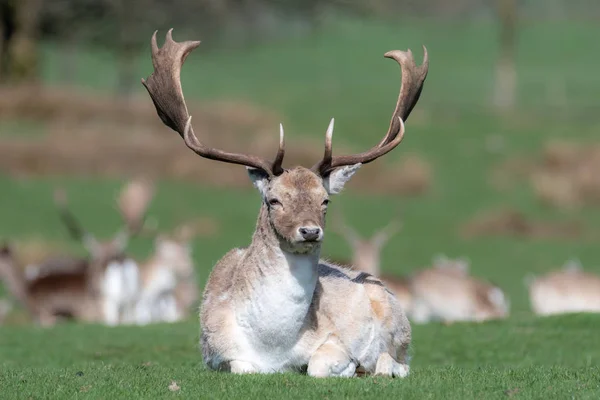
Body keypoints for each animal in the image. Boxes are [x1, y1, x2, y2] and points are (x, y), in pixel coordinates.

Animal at [143, 29, 428, 376]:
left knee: (398, 358)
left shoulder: (334, 341)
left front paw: (352, 367)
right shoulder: (217, 354)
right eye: (274, 199)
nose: (309, 231)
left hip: (394, 317)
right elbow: (242, 367)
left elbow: (320, 364)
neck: (273, 346)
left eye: (325, 200)